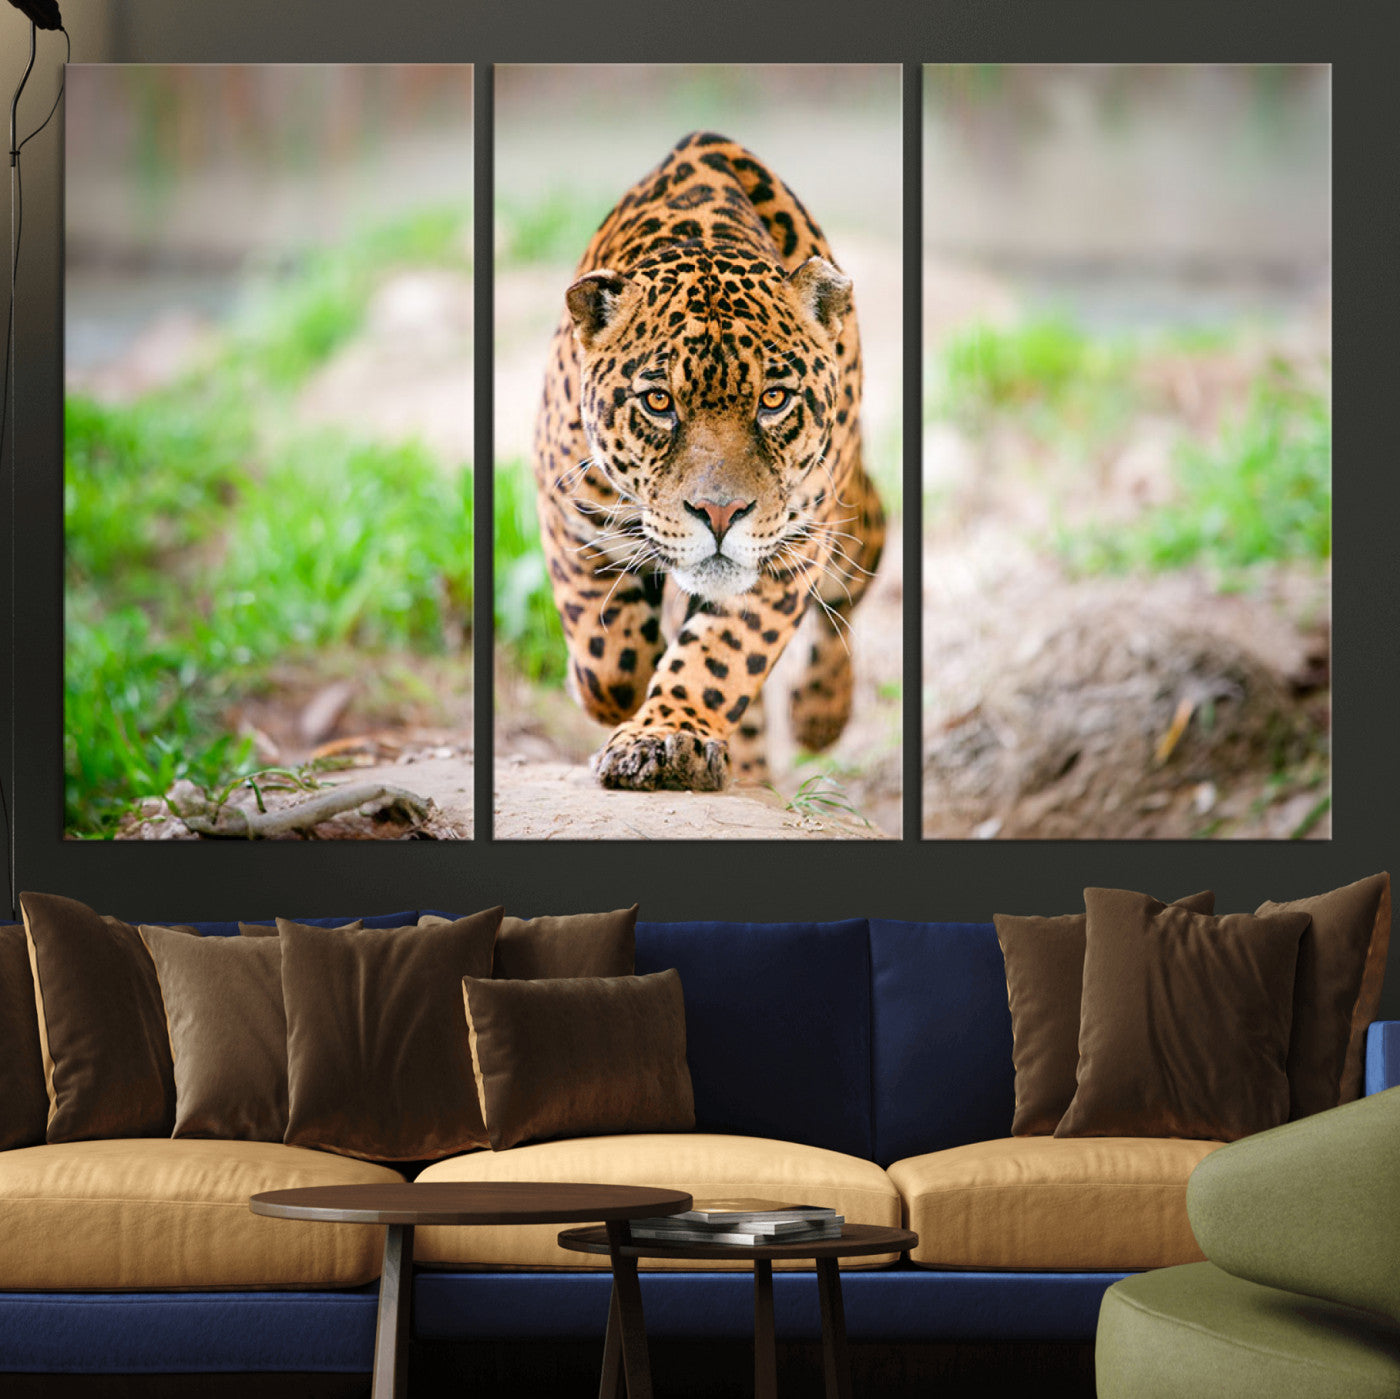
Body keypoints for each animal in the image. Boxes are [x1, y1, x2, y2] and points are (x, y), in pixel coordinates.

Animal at [530, 131, 885, 792]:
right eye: (658, 402)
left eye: (774, 400)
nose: (720, 514)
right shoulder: (568, 506)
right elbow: (606, 654)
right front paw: (618, 696)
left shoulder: (790, 548)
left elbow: (721, 656)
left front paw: (667, 737)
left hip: (848, 519)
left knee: (852, 581)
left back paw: (819, 714)